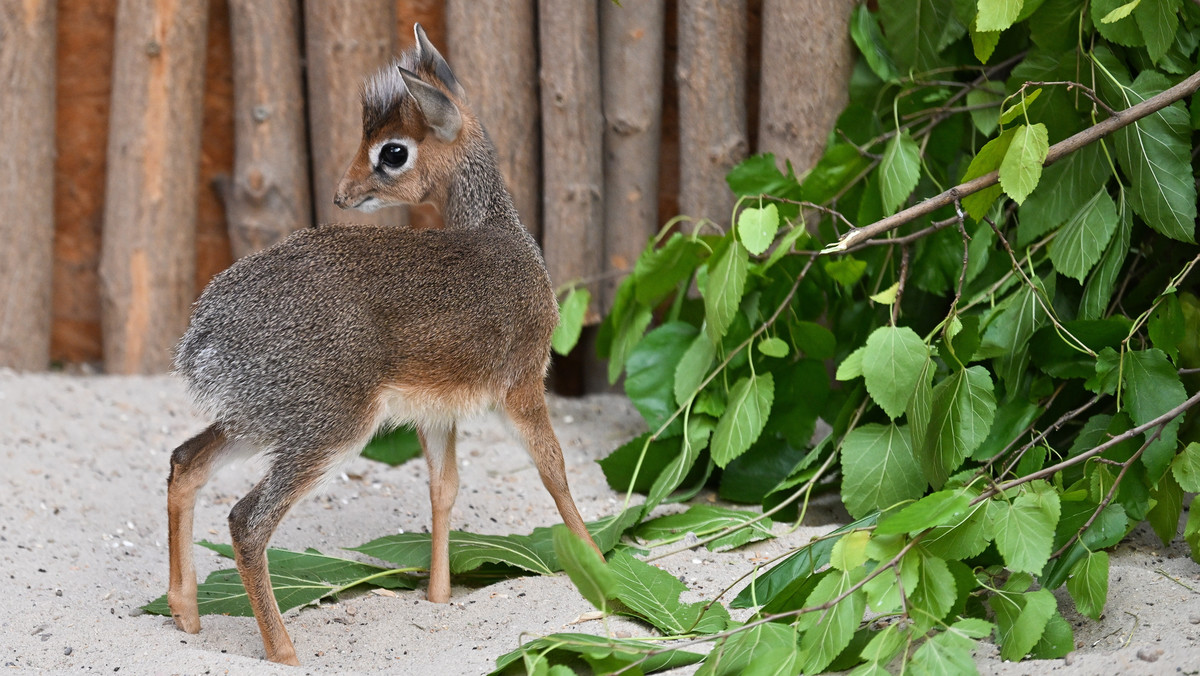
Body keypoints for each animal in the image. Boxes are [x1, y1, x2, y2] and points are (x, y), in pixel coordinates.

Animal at [166, 26, 600, 667]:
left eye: (392, 151)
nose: (342, 194)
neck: (499, 234)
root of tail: (205, 333)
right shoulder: (521, 386)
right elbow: (555, 470)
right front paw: (602, 568)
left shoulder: (439, 412)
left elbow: (444, 489)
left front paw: (440, 597)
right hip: (330, 427)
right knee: (247, 520)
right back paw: (285, 652)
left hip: (261, 422)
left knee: (185, 462)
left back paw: (187, 613)